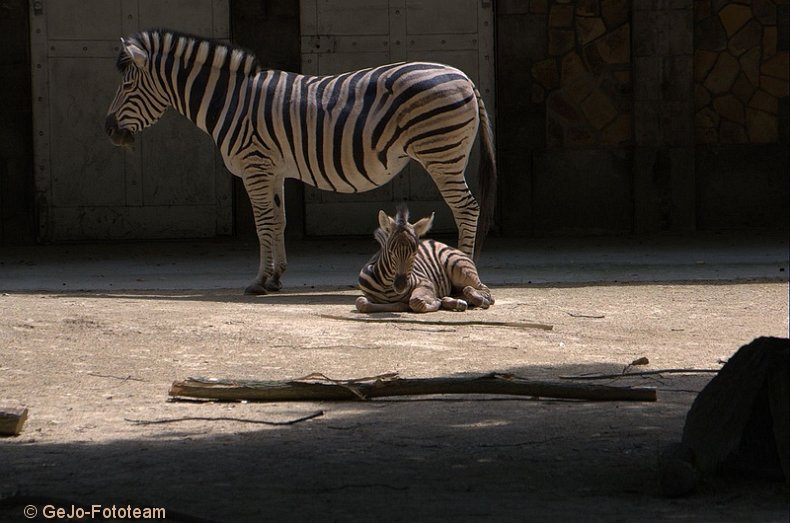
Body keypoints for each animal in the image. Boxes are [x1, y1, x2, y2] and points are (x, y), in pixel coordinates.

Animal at [104, 29, 496, 294]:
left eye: (127, 87)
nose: (108, 130)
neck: (231, 102)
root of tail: (464, 77)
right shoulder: (271, 169)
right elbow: (278, 221)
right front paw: (276, 277)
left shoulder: (254, 165)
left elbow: (263, 223)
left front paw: (259, 281)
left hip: (441, 155)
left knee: (467, 209)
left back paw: (467, 274)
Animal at [358, 205, 496, 314]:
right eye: (390, 252)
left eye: (415, 253)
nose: (401, 286)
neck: (387, 286)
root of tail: (441, 243)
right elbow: (361, 303)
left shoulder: (426, 283)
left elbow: (415, 301)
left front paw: (435, 302)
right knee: (466, 292)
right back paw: (455, 301)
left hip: (460, 269)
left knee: (484, 291)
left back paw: (479, 300)